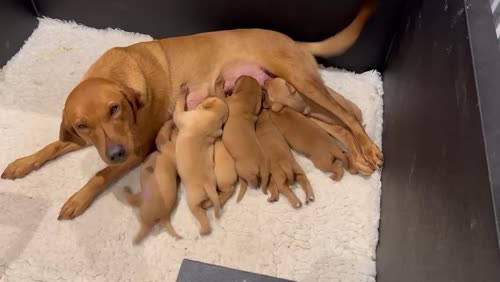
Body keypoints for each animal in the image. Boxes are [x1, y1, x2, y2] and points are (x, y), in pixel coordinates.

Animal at [1, 0, 380, 219]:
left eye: (114, 109)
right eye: (82, 125)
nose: (115, 153)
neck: (114, 74)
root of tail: (289, 38)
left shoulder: (137, 150)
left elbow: (100, 175)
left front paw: (78, 199)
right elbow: (52, 146)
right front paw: (22, 164)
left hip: (300, 81)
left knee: (347, 117)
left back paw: (369, 149)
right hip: (296, 96)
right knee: (337, 123)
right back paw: (356, 156)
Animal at [172, 86, 227, 236]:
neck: (212, 119)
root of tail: (207, 185)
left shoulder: (182, 116)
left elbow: (178, 106)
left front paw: (182, 92)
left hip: (192, 202)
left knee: (204, 221)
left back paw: (203, 231)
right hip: (207, 195)